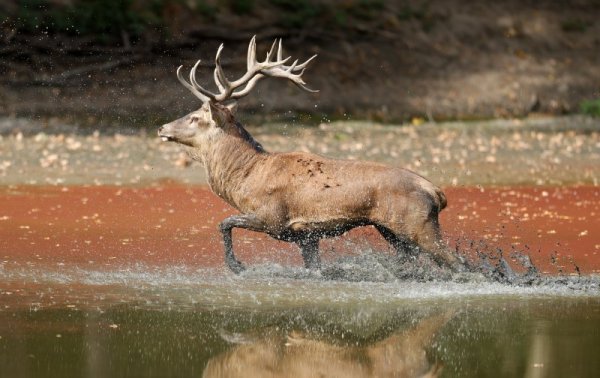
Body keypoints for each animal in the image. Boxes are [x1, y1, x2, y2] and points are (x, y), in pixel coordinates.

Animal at [157, 36, 462, 274]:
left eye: (196, 117)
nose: (161, 127)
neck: (245, 178)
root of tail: (436, 191)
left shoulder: (271, 217)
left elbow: (224, 223)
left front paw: (237, 266)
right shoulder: (307, 236)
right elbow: (314, 268)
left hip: (418, 224)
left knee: (457, 263)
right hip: (390, 229)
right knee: (410, 258)